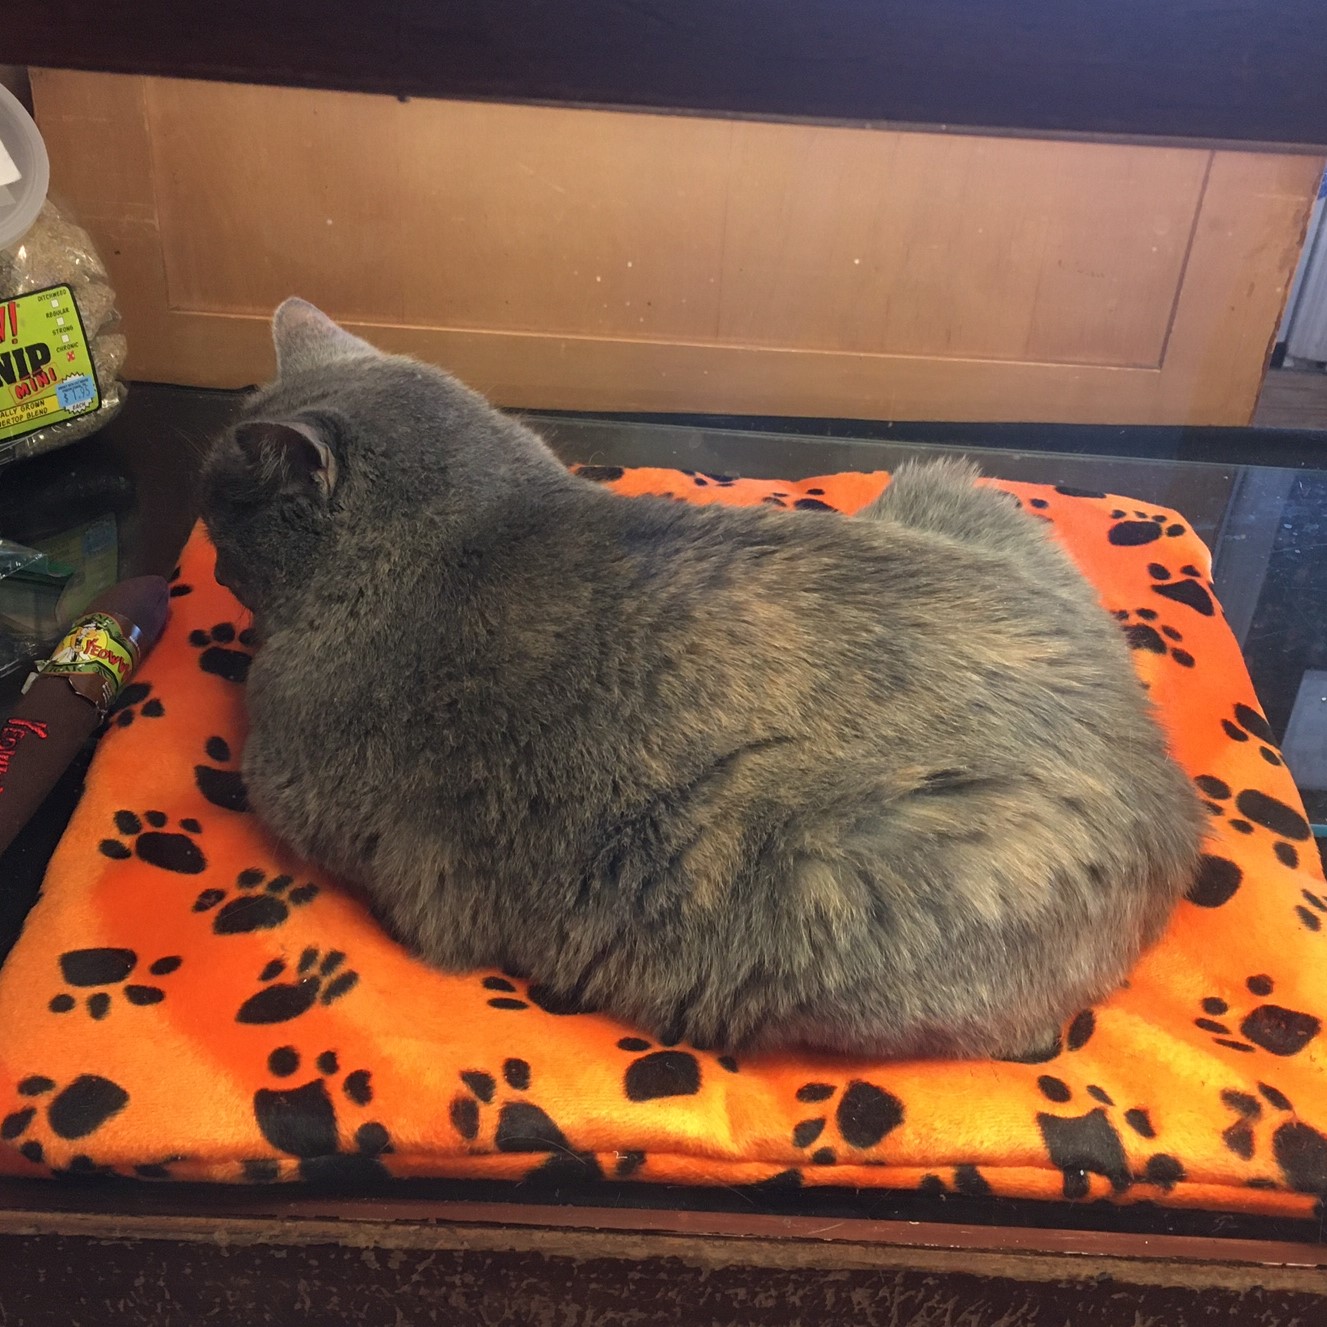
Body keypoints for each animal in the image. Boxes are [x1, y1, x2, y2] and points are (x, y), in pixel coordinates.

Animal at [201, 298, 1210, 1056]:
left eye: (219, 517)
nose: (207, 552)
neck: (472, 531)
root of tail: (1172, 799)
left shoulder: (297, 788)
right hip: (948, 483)